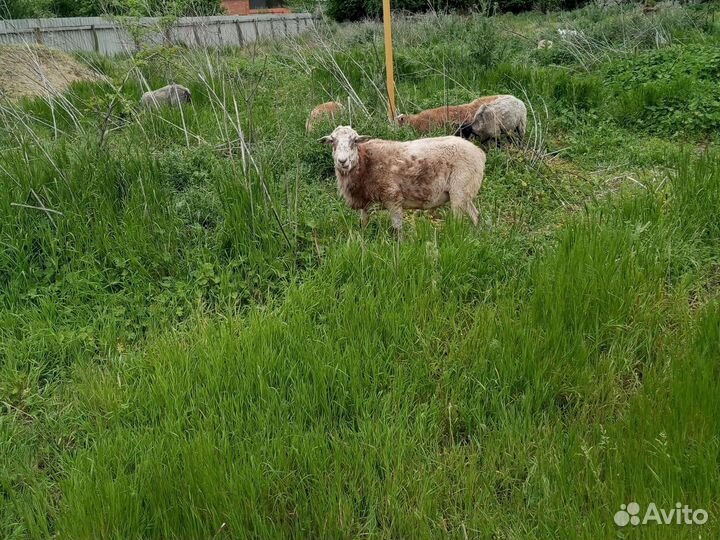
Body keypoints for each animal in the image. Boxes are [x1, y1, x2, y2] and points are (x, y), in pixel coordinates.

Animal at [320, 125, 486, 235]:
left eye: (354, 141)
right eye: (332, 141)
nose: (342, 161)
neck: (365, 162)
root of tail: (479, 153)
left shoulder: (393, 198)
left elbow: (397, 229)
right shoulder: (366, 202)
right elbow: (363, 225)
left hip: (459, 189)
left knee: (459, 221)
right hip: (465, 191)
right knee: (476, 215)